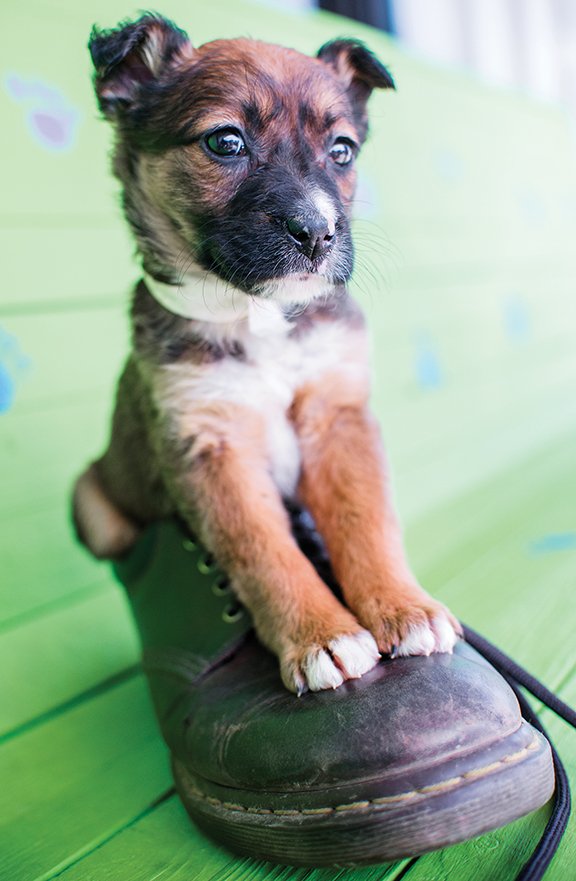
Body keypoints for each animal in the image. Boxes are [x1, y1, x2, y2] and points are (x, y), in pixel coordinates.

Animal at [73, 10, 460, 692]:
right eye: (225, 142)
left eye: (342, 151)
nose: (317, 233)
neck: (256, 316)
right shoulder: (211, 446)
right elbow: (266, 554)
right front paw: (323, 636)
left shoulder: (338, 414)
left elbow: (368, 522)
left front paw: (404, 608)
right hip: (91, 500)